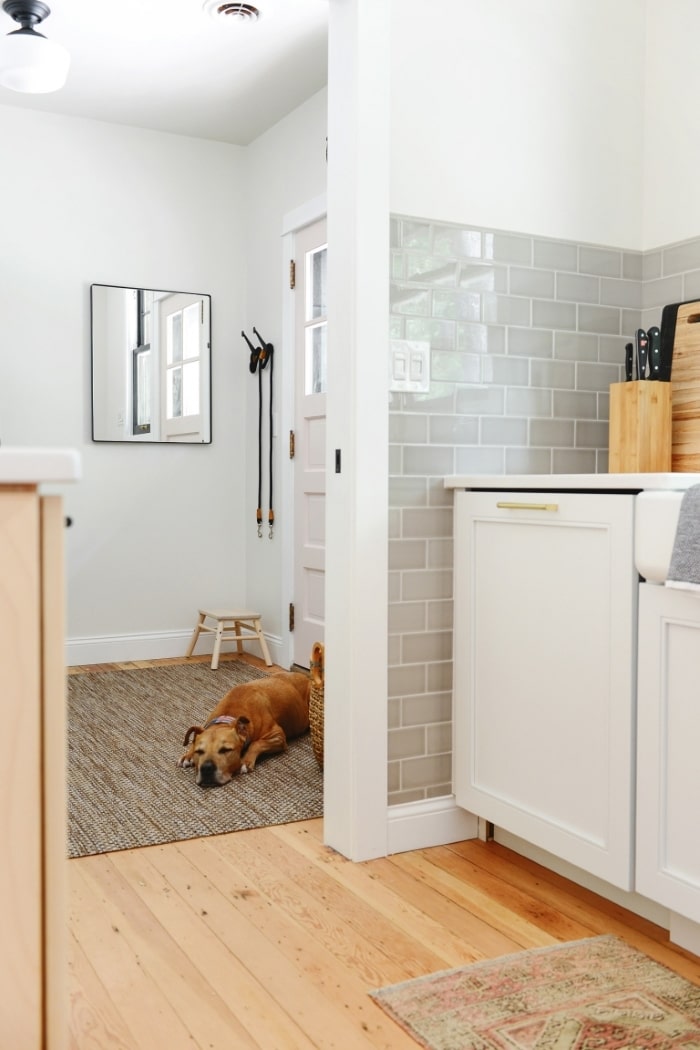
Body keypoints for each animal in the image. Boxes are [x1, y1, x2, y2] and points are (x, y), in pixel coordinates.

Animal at [178, 672, 308, 789]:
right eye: (199, 751)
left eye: (226, 750)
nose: (206, 768)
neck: (227, 718)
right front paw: (188, 755)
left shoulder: (278, 736)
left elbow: (256, 743)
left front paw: (245, 761)